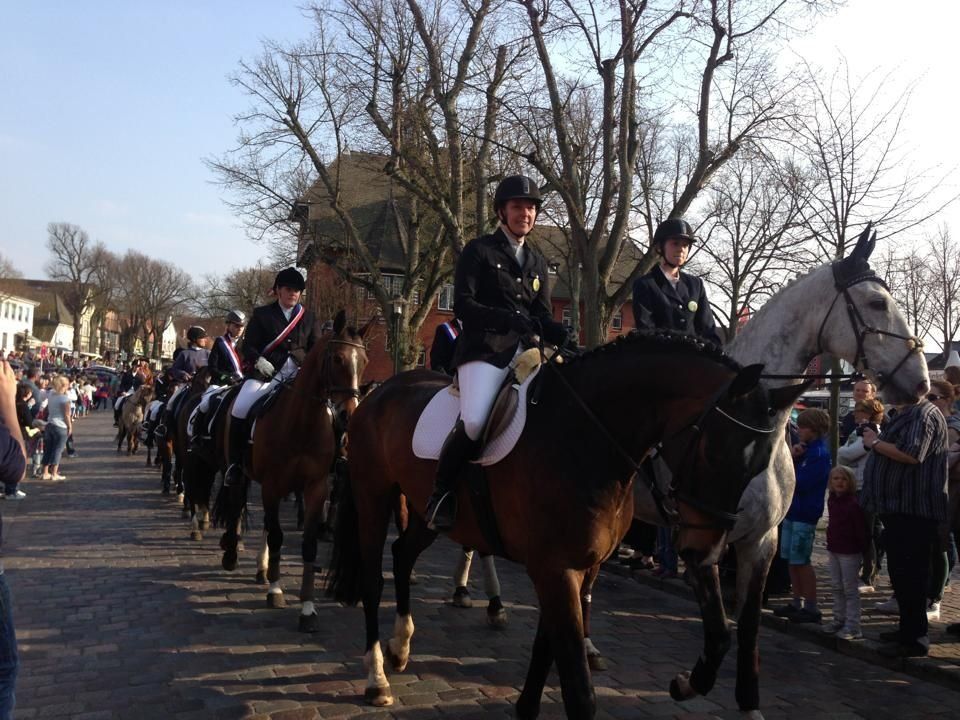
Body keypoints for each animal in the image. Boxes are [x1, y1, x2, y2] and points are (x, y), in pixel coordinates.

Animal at [214, 310, 370, 632]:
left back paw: (262, 569)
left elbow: (308, 545)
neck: (302, 422)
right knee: (236, 506)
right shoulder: (273, 485)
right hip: (238, 472)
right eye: (337, 358)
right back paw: (232, 553)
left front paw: (308, 609)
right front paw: (276, 591)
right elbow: (276, 536)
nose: (350, 415)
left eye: (364, 361)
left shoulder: (315, 487)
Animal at [326, 331, 806, 717]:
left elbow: (548, 649)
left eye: (760, 465)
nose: (707, 552)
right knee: (373, 578)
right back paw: (377, 677)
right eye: (713, 452)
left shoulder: (574, 565)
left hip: (430, 515)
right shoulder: (557, 569)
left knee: (402, 553)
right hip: (373, 497)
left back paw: (401, 646)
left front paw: (526, 707)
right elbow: (578, 688)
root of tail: (377, 394)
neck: (585, 438)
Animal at [580, 226, 930, 718]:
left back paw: (588, 647)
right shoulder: (700, 545)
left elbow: (747, 632)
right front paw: (686, 684)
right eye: (878, 303)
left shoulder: (761, 543)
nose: (921, 383)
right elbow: (720, 634)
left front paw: (748, 704)